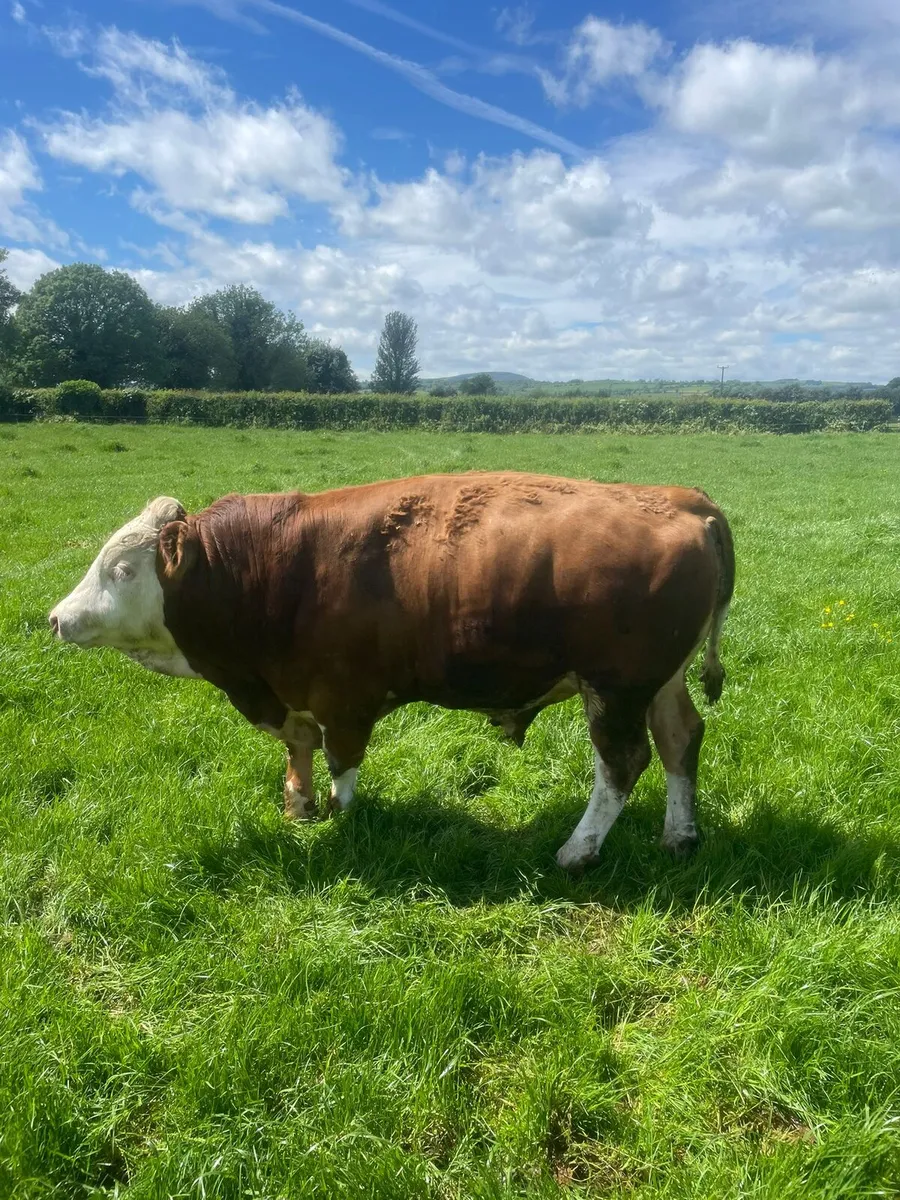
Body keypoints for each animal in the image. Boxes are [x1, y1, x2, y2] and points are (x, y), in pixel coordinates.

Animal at [48, 471, 734, 871]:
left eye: (123, 570)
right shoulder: (291, 692)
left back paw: (577, 850)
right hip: (658, 683)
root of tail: (685, 499)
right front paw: (297, 805)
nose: (57, 618)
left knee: (622, 763)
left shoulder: (344, 695)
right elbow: (300, 748)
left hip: (614, 687)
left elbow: (342, 761)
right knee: (680, 740)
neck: (268, 568)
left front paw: (343, 816)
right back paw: (680, 836)